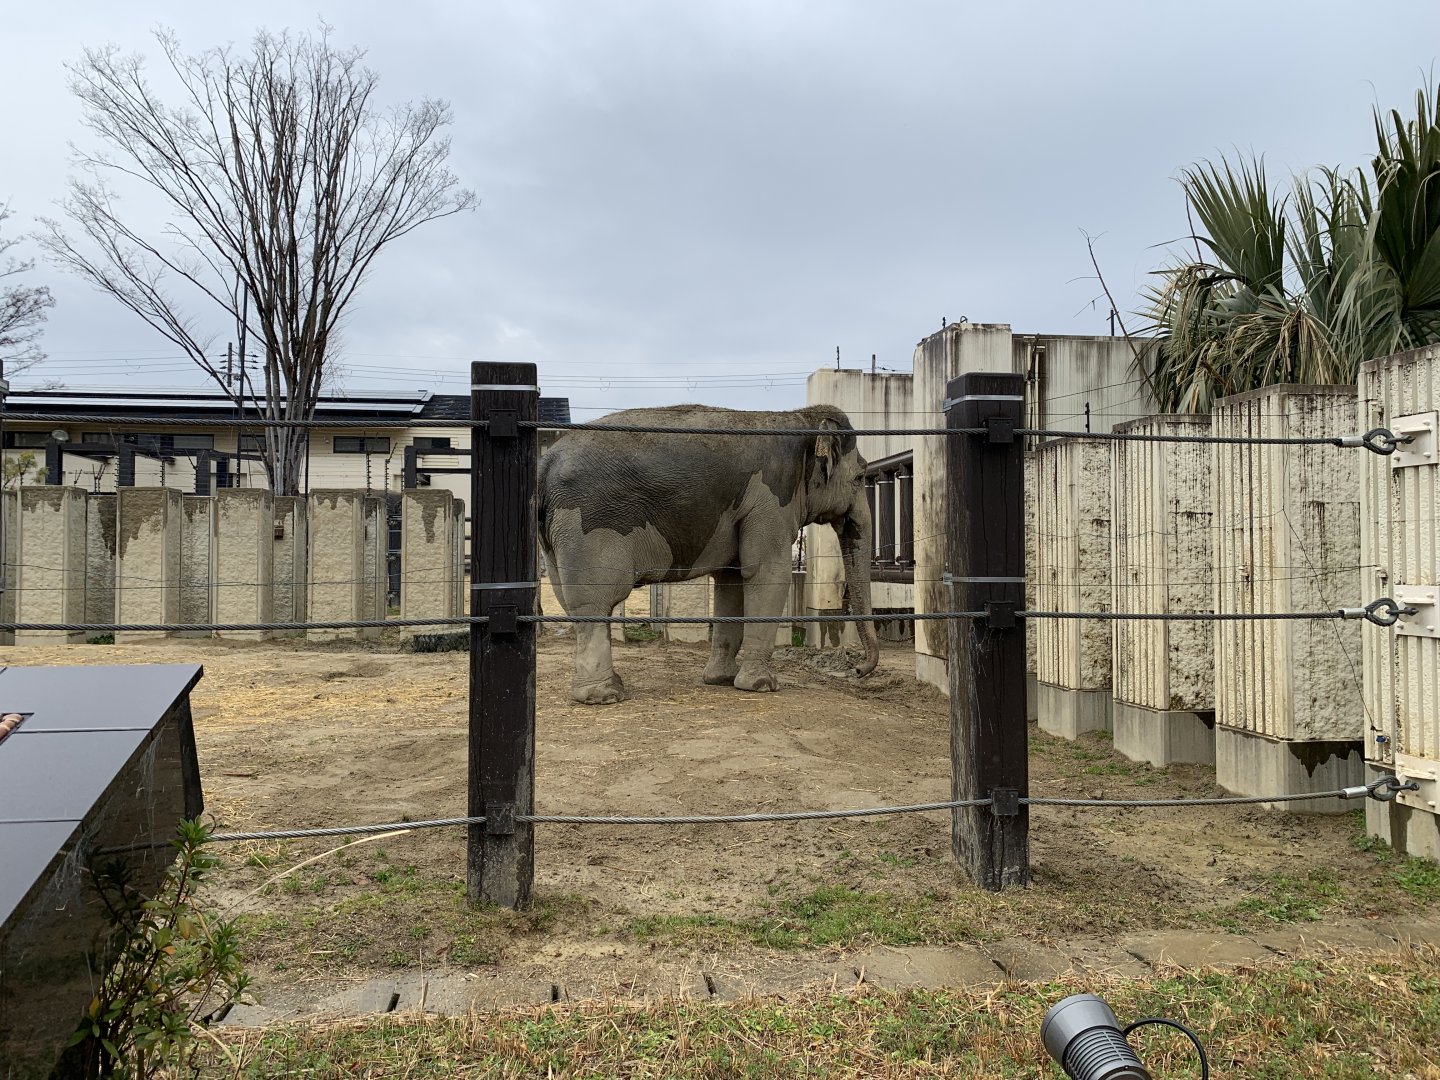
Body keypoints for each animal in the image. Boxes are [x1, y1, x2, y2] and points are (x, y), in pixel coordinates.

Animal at [539, 403, 881, 705]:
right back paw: (604, 696)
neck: (799, 419)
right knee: (596, 600)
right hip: (590, 526)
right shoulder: (770, 501)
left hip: (555, 539)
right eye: (859, 477)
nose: (857, 669)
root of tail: (546, 461)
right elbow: (768, 573)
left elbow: (731, 581)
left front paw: (721, 680)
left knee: (571, 600)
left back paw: (612, 686)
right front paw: (761, 685)